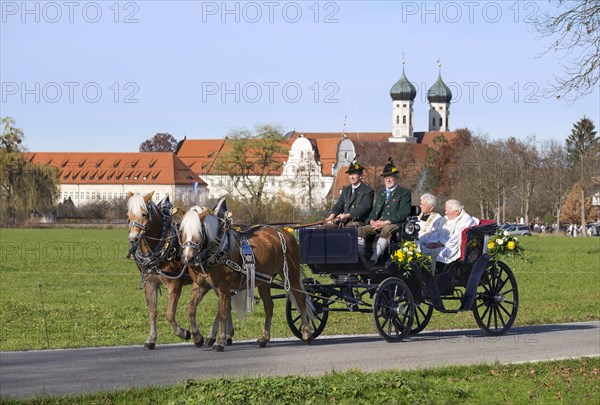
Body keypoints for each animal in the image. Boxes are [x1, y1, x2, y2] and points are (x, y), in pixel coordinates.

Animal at [126, 192, 232, 348]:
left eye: (144, 214)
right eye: (129, 215)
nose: (133, 238)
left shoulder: (174, 284)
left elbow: (170, 314)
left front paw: (184, 333)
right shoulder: (151, 283)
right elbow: (152, 312)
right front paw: (151, 338)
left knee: (222, 305)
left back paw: (213, 336)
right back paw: (227, 334)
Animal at [178, 201, 314, 350]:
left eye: (200, 231)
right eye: (182, 231)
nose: (188, 258)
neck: (218, 251)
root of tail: (284, 231)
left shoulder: (224, 288)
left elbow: (223, 313)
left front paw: (220, 341)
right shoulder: (200, 286)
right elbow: (191, 308)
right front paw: (197, 337)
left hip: (290, 274)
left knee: (300, 299)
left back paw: (306, 333)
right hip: (264, 281)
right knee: (269, 306)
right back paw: (264, 338)